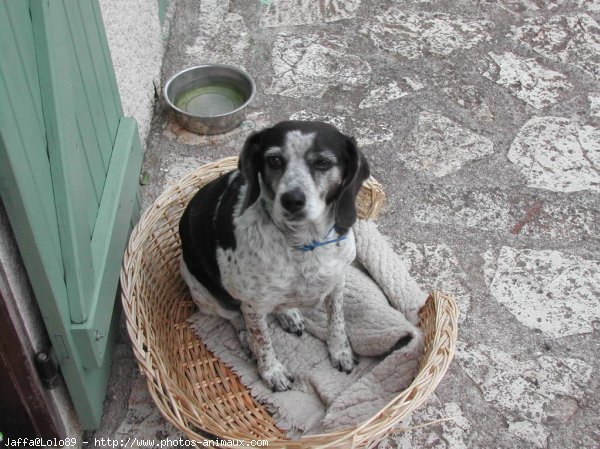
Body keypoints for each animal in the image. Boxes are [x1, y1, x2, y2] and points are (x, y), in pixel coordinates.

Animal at [178, 121, 370, 390]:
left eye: (322, 162)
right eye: (274, 160)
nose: (292, 200)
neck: (304, 243)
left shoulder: (337, 282)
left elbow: (337, 321)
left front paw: (340, 351)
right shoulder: (252, 304)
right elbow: (263, 340)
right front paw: (271, 371)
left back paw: (288, 314)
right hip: (203, 292)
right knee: (235, 317)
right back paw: (248, 338)